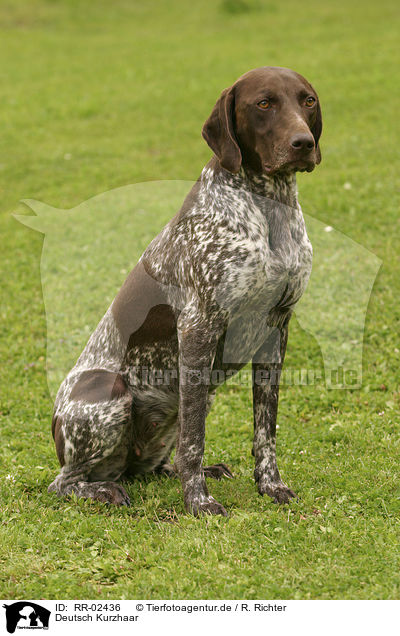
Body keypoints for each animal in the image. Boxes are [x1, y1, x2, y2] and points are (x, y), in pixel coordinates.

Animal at [47, 67, 322, 516]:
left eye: (307, 101)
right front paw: (198, 501)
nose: (303, 143)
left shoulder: (275, 330)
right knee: (65, 482)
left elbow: (265, 429)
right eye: (264, 103)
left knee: (159, 465)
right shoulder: (198, 328)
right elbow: (194, 439)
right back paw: (102, 489)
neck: (268, 206)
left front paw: (270, 484)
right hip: (111, 395)